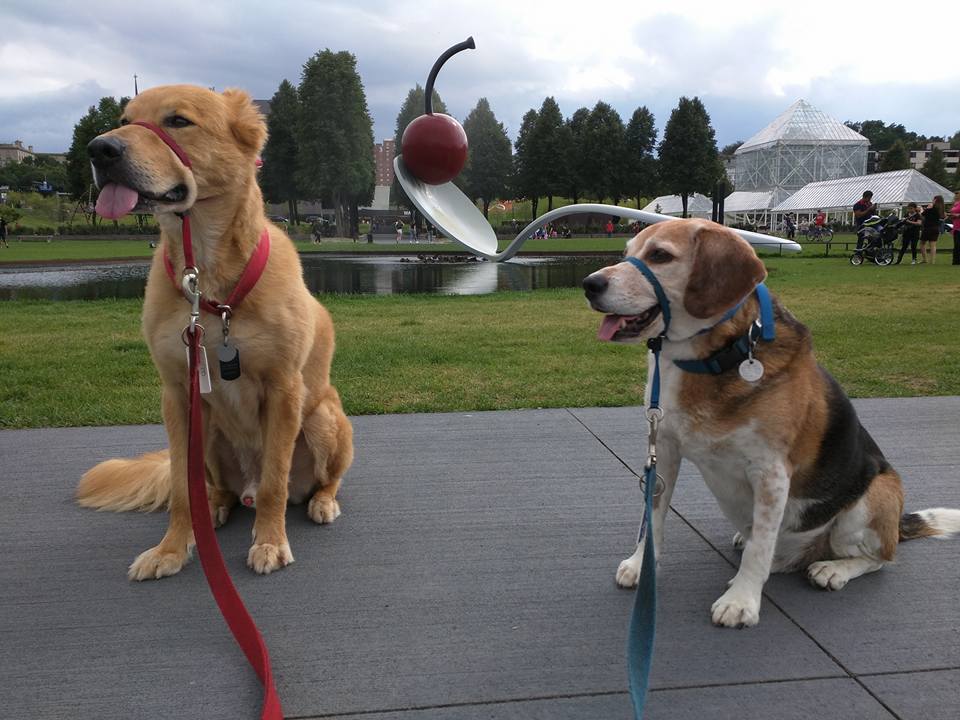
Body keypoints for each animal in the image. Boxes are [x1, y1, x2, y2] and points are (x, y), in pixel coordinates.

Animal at [76, 84, 352, 580]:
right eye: (125, 119)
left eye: (178, 121)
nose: (99, 149)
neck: (206, 280)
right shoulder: (177, 395)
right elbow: (182, 491)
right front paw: (171, 548)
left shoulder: (284, 389)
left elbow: (275, 482)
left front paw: (270, 541)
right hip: (208, 440)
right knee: (209, 489)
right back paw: (217, 508)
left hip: (323, 417)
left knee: (315, 481)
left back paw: (321, 502)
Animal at [580, 222, 960, 628]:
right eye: (627, 254)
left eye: (660, 256)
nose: (589, 284)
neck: (712, 358)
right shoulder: (663, 450)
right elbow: (652, 519)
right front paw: (641, 566)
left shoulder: (771, 472)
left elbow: (760, 548)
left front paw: (741, 601)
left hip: (872, 499)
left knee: (879, 559)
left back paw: (832, 569)